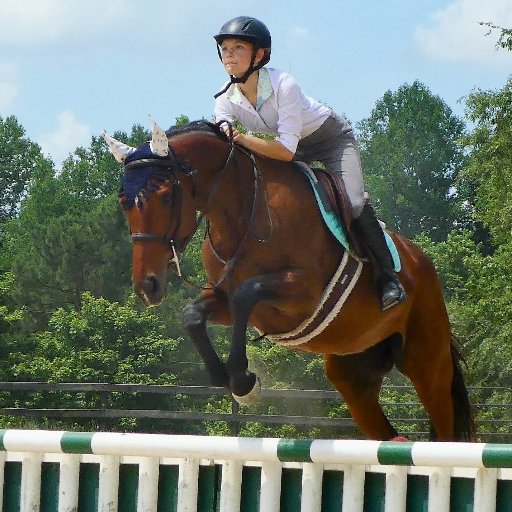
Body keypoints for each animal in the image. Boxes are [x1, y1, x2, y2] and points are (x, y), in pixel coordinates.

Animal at [105, 119, 476, 440]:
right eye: (123, 201)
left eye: (167, 196)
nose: (147, 287)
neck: (246, 210)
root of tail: (423, 264)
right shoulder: (224, 298)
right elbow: (194, 314)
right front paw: (223, 377)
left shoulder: (302, 294)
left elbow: (247, 292)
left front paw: (242, 381)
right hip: (354, 374)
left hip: (427, 365)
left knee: (443, 423)